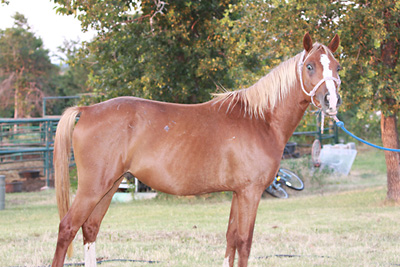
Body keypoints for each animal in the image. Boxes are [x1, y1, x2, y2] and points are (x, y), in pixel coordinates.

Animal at [51, 33, 342, 267]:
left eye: (337, 66)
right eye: (310, 66)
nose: (331, 101)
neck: (260, 119)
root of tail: (87, 110)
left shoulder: (238, 193)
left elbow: (231, 239)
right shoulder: (250, 192)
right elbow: (244, 242)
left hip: (109, 187)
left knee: (90, 228)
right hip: (92, 189)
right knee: (67, 228)